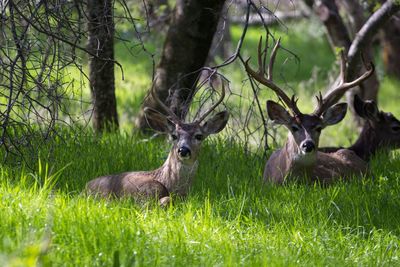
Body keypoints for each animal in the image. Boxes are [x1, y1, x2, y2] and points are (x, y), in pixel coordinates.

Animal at [86, 79, 230, 205]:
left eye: (199, 136)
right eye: (174, 135)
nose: (183, 150)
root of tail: (84, 187)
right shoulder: (144, 196)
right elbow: (166, 199)